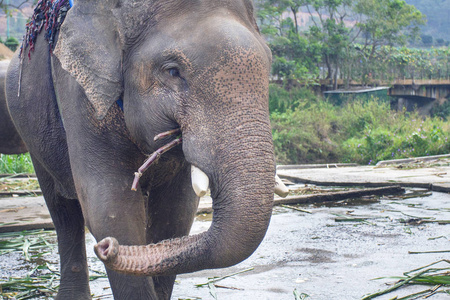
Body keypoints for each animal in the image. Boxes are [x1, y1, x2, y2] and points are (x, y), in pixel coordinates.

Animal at [4, 0, 284, 298]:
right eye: (173, 71)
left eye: (269, 68)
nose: (106, 247)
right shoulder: (79, 94)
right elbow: (110, 208)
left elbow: (176, 214)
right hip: (31, 134)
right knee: (63, 212)